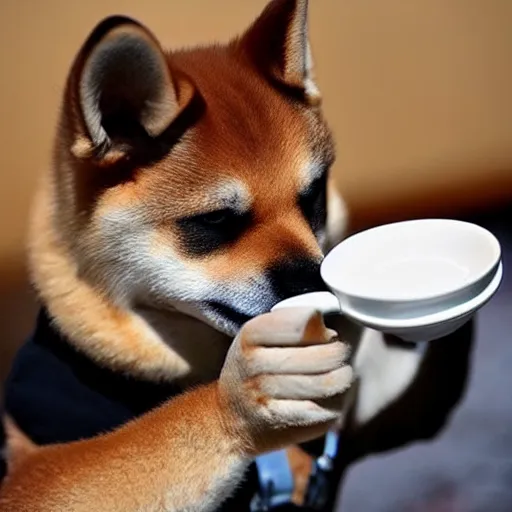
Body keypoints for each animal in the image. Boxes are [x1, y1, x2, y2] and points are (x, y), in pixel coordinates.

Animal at [0, 1, 472, 512]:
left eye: (312, 196)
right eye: (217, 220)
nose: (316, 287)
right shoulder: (34, 467)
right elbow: (158, 432)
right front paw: (241, 397)